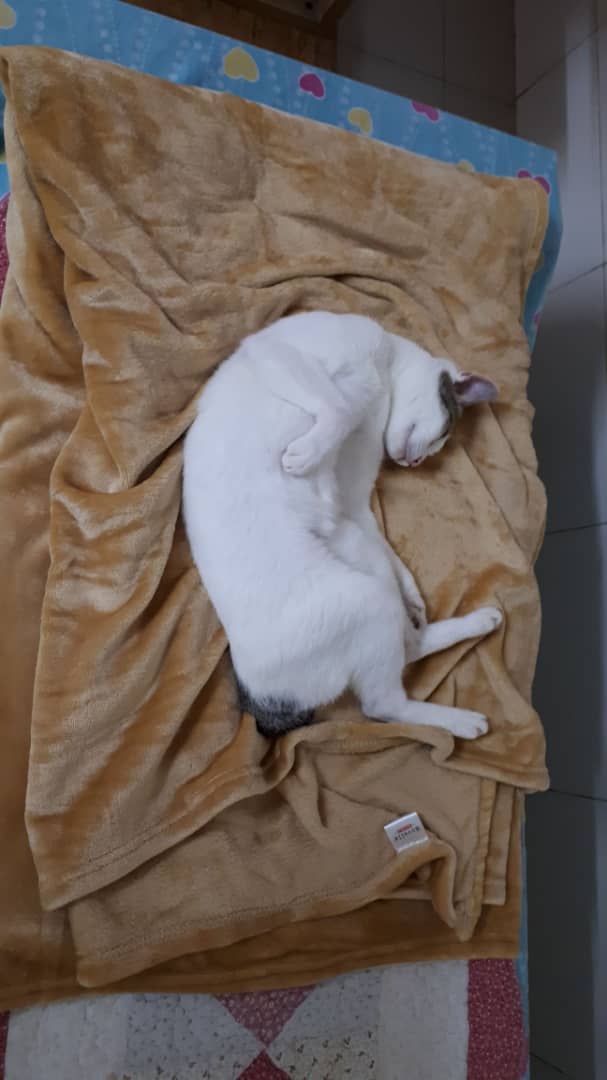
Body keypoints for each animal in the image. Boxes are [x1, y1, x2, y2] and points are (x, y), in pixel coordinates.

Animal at [183, 310, 500, 741]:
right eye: (443, 433)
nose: (417, 463)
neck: (383, 374)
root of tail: (261, 698)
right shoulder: (277, 349)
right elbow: (341, 405)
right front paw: (306, 453)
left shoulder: (353, 503)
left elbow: (394, 558)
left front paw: (414, 594)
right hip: (366, 600)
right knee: (383, 702)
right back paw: (461, 720)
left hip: (359, 559)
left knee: (408, 648)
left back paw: (477, 626)